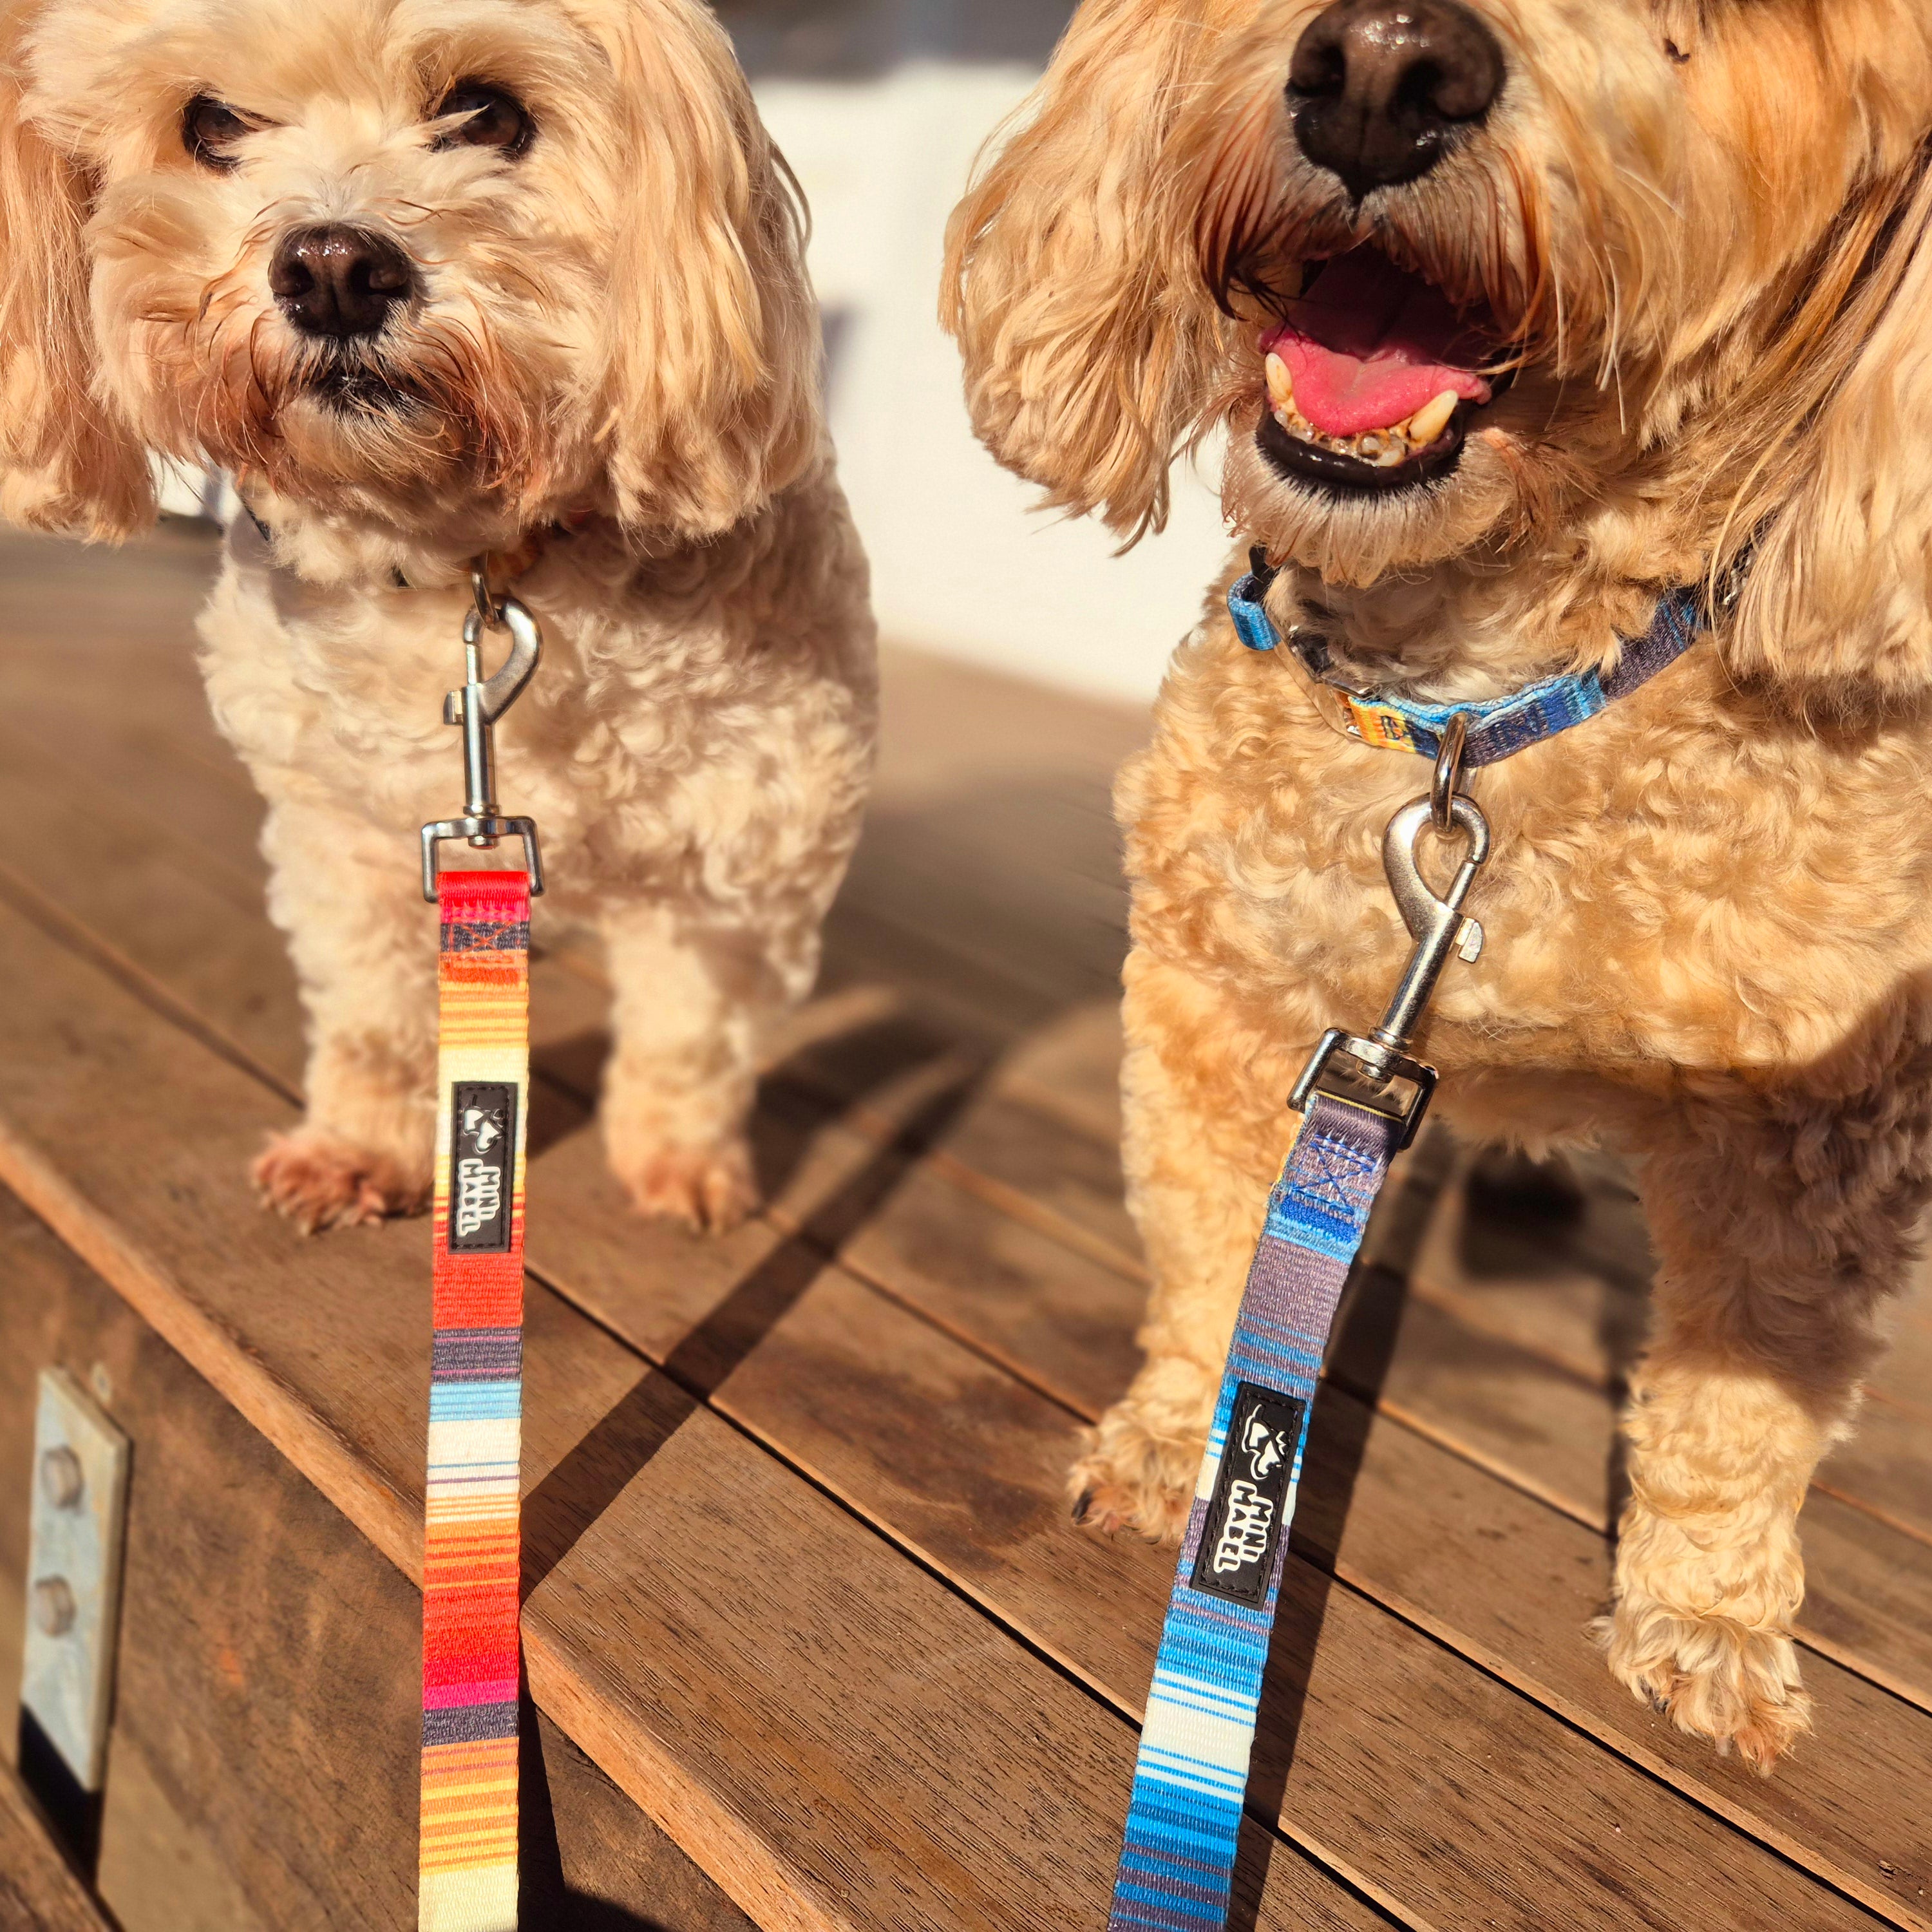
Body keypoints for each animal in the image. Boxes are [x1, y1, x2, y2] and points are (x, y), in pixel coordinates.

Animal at [0, 0, 877, 1236]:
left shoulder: (745, 847)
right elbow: (375, 1014)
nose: (332, 267)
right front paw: (361, 1149)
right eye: (210, 122)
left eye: (489, 112)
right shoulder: (348, 832)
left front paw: (682, 1165)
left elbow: (690, 1034)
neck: (477, 560)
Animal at [939, 0, 1932, 1770]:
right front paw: (1181, 1440)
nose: (1385, 66)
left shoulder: (1818, 1117)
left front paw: (1707, 1617)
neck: (1476, 704)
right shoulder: (1221, 988)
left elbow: (1748, 1391)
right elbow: (1215, 1246)